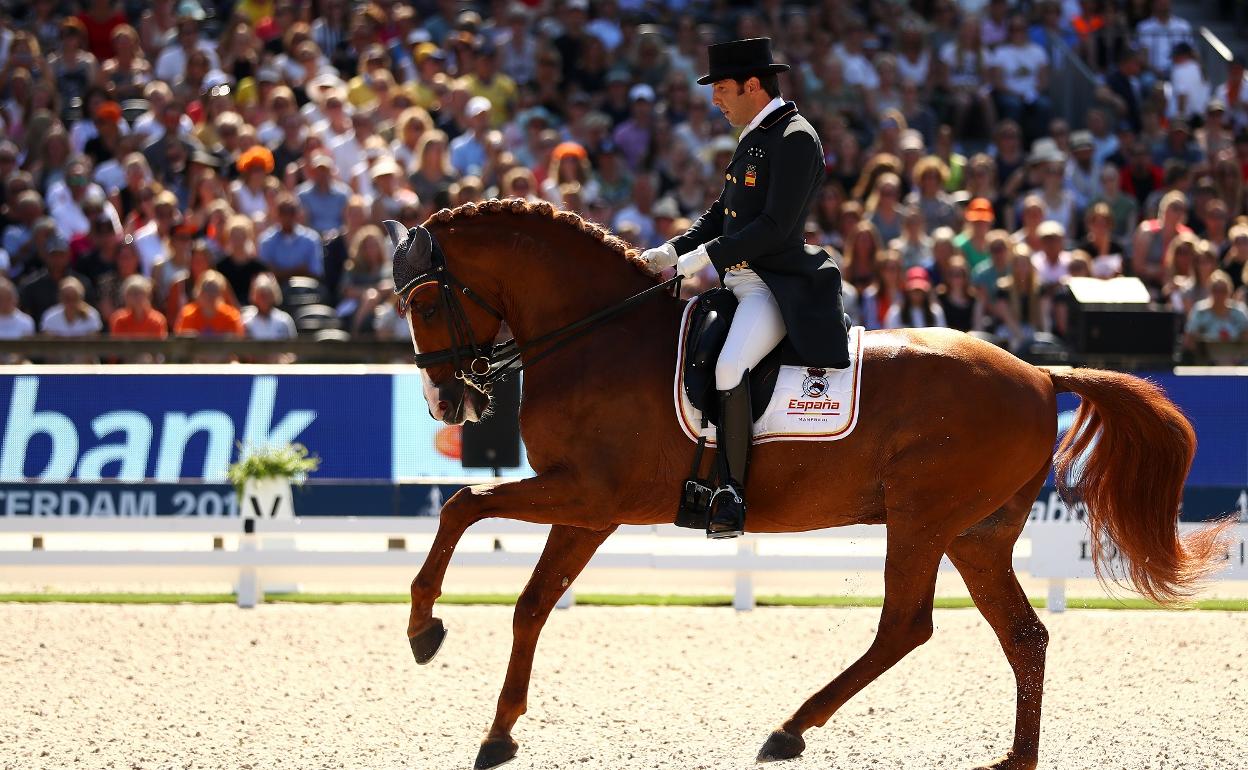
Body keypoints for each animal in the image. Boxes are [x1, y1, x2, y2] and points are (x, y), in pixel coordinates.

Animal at [396, 200, 1228, 768]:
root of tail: (1038, 372)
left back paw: (789, 729)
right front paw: (498, 732)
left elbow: (462, 506)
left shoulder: (588, 495)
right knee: (1022, 635)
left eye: (426, 301)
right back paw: (1012, 760)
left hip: (923, 520)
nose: (446, 404)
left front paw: (425, 631)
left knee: (906, 626)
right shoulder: (586, 509)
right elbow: (530, 602)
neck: (597, 337)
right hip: (976, 534)